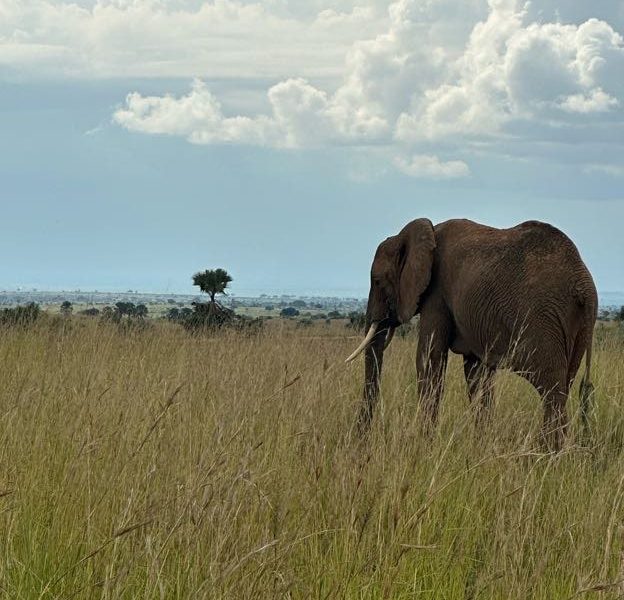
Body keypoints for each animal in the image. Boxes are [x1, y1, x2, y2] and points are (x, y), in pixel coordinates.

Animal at [348, 218, 596, 448]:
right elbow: (476, 374)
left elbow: (429, 359)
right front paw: (481, 445)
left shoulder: (436, 294)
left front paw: (424, 444)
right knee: (563, 386)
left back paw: (547, 454)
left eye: (377, 281)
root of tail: (583, 287)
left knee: (552, 391)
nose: (362, 443)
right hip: (581, 329)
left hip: (542, 320)